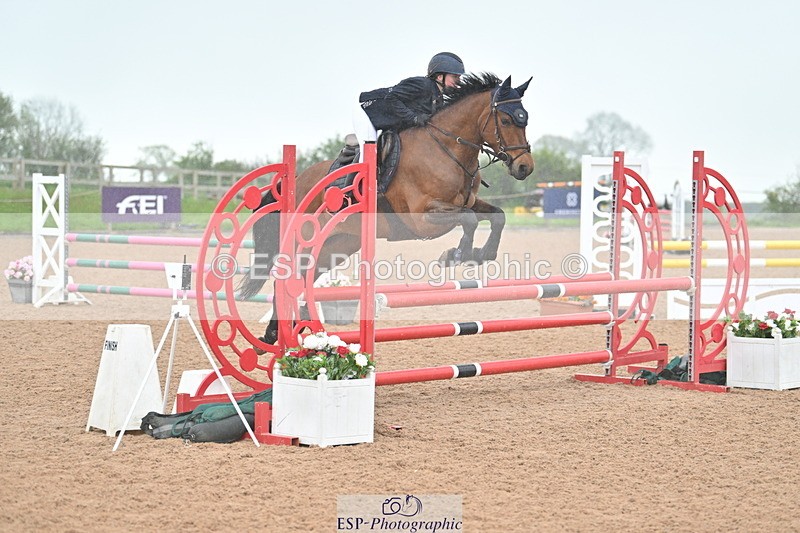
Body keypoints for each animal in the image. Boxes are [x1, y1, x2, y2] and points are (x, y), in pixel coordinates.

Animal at [238, 72, 535, 346]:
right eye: (506, 121)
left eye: (525, 120)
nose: (525, 168)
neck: (447, 148)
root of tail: (296, 180)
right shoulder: (423, 217)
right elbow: (470, 221)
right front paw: (456, 255)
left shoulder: (466, 203)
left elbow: (497, 216)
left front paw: (481, 254)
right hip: (306, 240)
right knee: (287, 278)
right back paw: (279, 333)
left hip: (339, 244)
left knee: (303, 278)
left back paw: (285, 330)